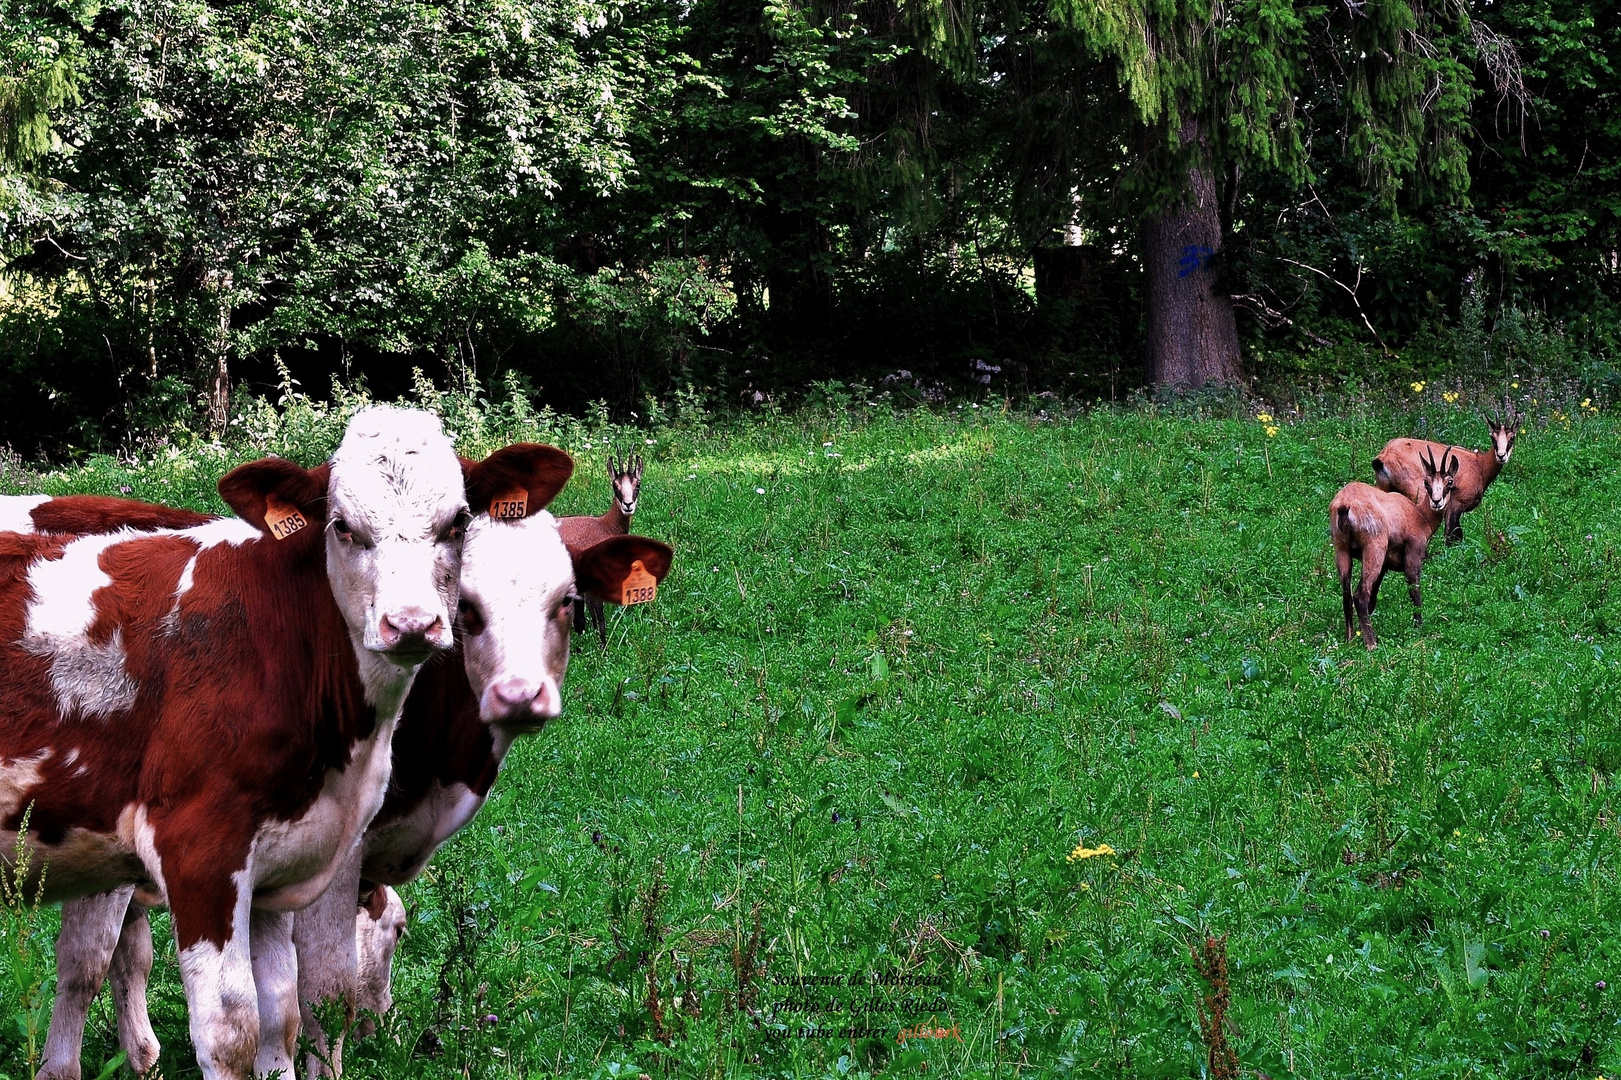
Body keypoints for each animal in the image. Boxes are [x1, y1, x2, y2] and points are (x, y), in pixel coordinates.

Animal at [0, 405, 473, 1076]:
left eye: (458, 522)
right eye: (342, 527)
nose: (410, 624)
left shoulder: (279, 864)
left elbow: (282, 1008)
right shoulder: (195, 851)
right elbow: (213, 1022)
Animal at [1329, 447, 1458, 648]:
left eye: (1449, 482)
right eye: (1426, 482)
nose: (1437, 502)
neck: (1419, 515)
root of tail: (1344, 505)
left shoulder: (1384, 566)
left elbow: (1374, 597)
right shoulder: (1413, 553)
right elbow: (1414, 589)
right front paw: (1419, 627)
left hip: (1341, 549)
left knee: (1346, 593)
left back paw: (1350, 638)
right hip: (1374, 548)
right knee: (1360, 595)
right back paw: (1371, 643)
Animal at [1368, 402, 1517, 541]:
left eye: (1512, 437)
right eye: (1492, 437)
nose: (1501, 456)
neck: (1479, 464)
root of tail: (1384, 456)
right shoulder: (1455, 504)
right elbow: (1453, 535)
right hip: (1417, 493)